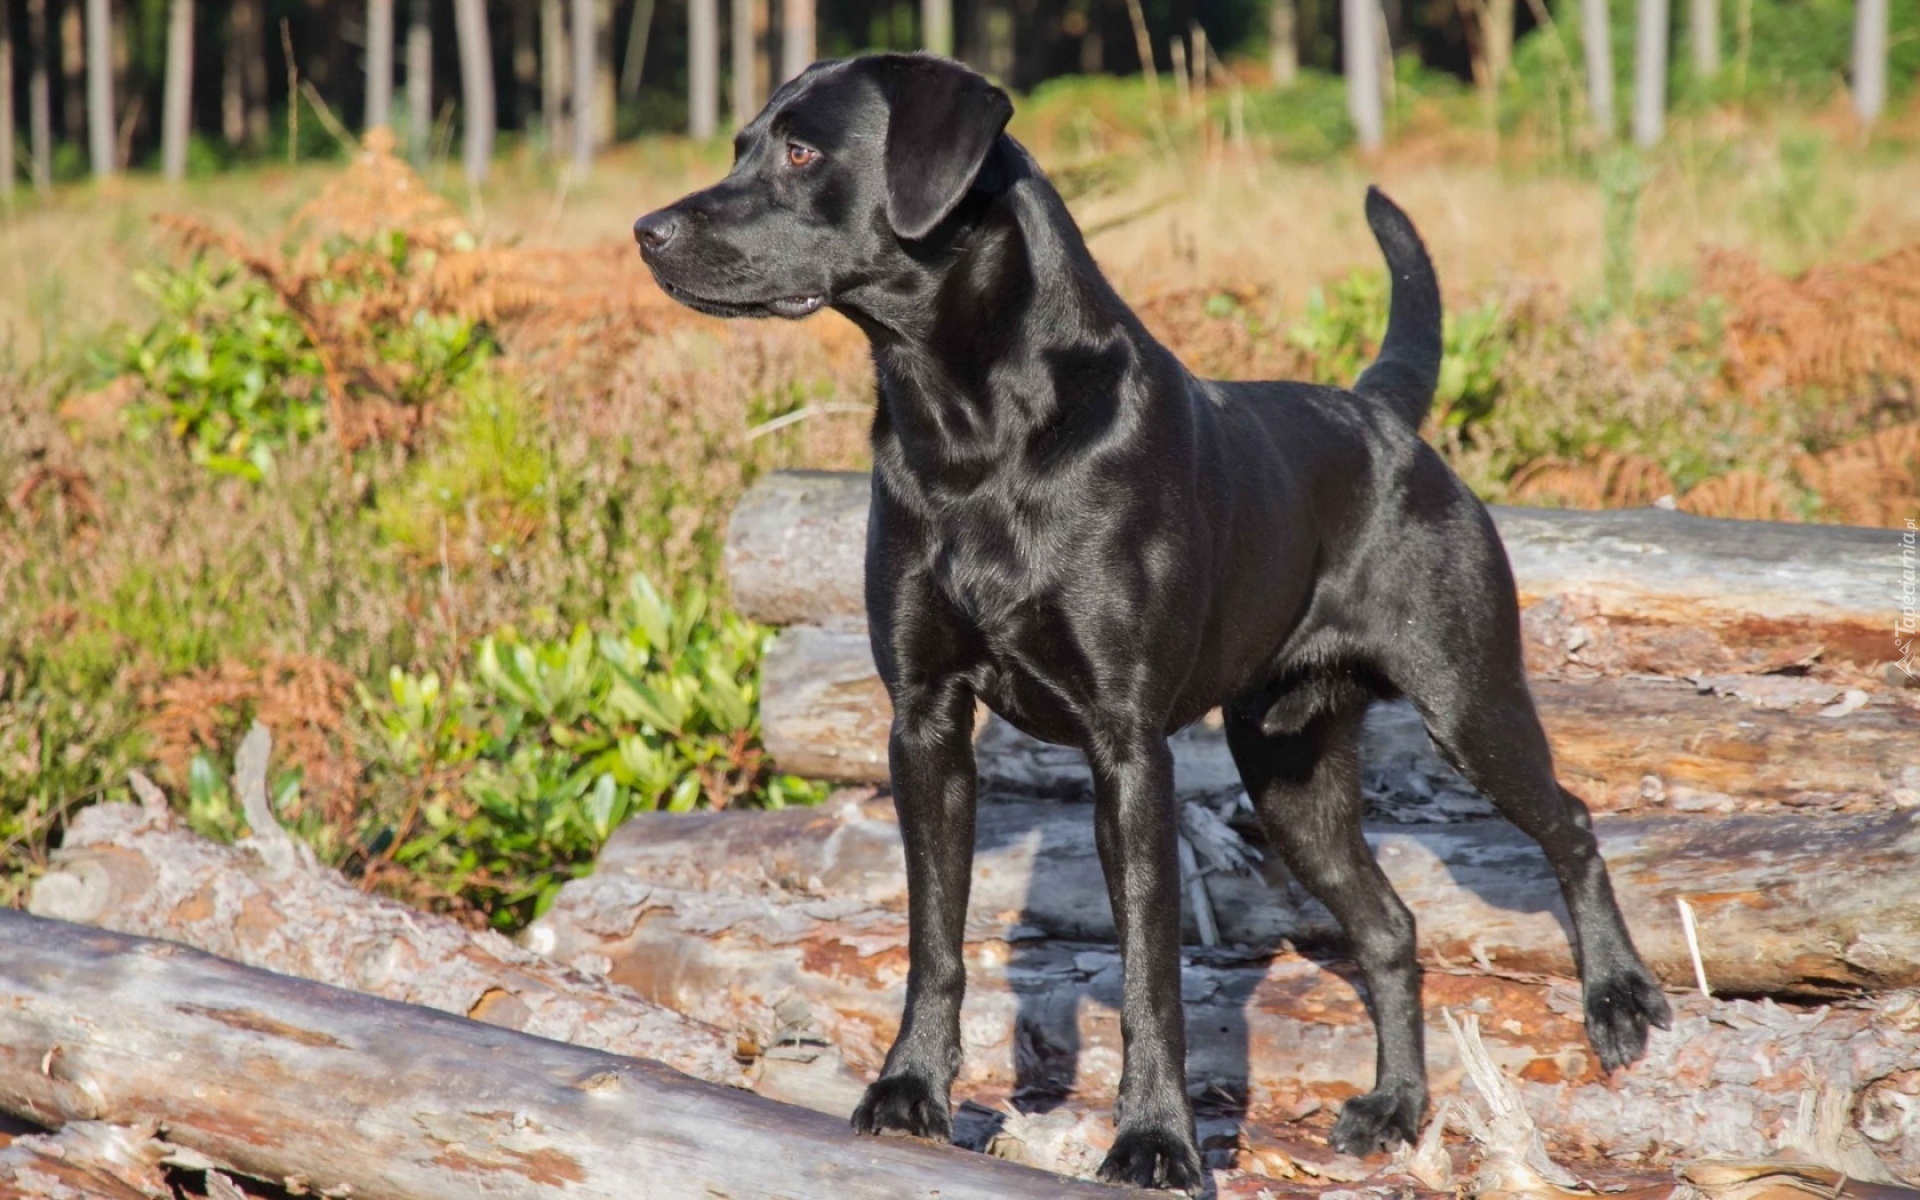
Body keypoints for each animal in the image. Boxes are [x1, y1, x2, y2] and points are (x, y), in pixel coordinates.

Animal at [637, 53, 1674, 1190]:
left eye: (801, 150)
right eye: (742, 142)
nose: (647, 229)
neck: (970, 430)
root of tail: (1383, 415)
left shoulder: (1127, 745)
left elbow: (1149, 972)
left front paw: (1154, 1143)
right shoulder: (924, 722)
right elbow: (934, 934)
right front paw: (909, 1093)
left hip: (1467, 697)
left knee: (1570, 820)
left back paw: (1619, 1002)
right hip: (1290, 775)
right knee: (1391, 925)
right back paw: (1395, 1106)